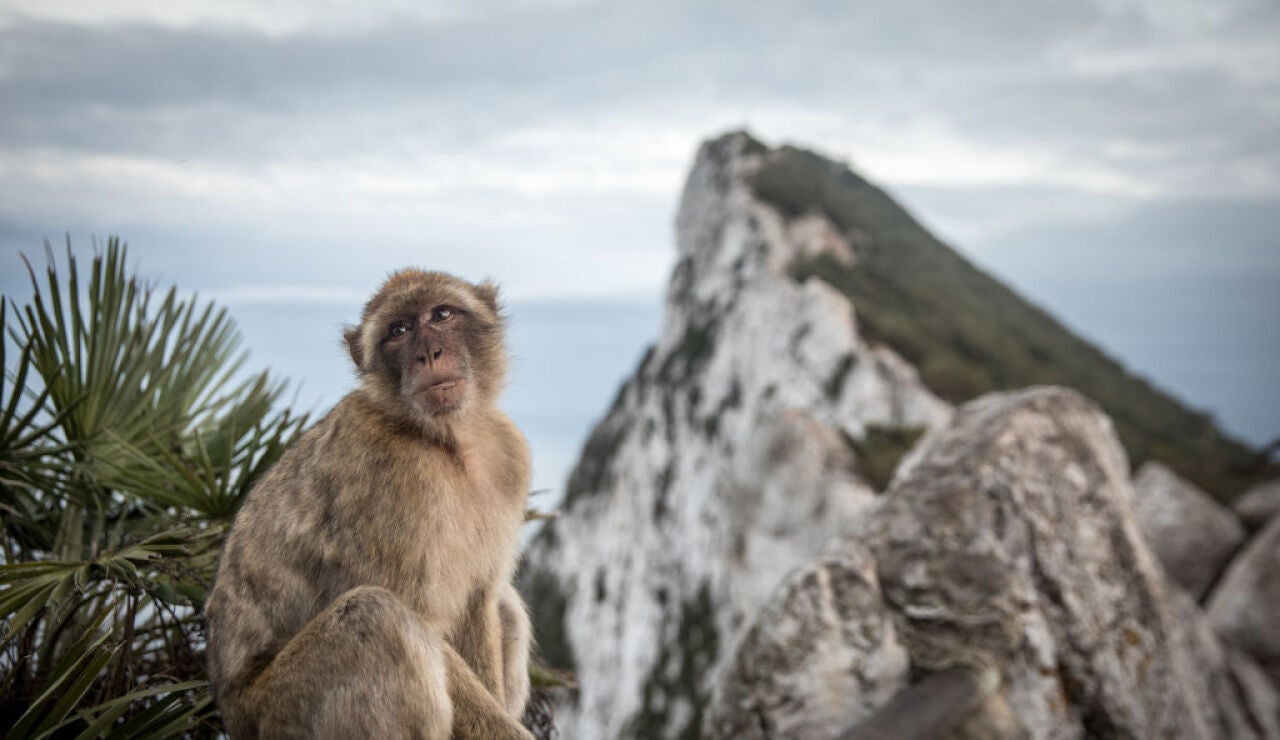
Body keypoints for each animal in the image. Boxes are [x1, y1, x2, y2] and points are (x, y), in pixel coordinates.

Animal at [205, 270, 535, 739]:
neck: (445, 442)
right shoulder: (387, 477)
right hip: (280, 712)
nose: (429, 353)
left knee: (503, 605)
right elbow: (417, 619)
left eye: (442, 314)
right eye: (398, 331)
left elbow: (481, 600)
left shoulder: (508, 456)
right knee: (375, 617)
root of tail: (229, 712)